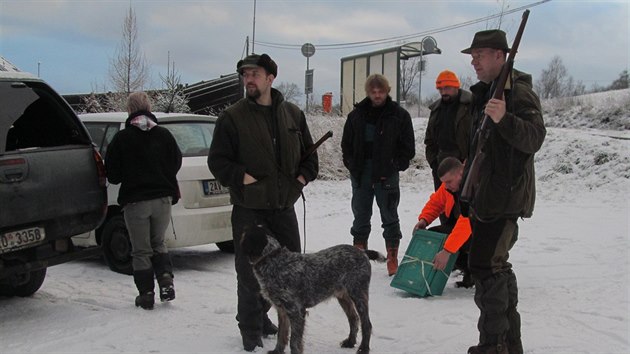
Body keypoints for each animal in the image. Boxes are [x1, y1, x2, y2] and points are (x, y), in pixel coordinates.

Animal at [241, 225, 382, 352]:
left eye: (244, 235)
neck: (273, 260)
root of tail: (362, 252)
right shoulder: (282, 310)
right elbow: (282, 334)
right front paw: (277, 351)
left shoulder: (296, 311)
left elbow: (294, 342)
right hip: (343, 296)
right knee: (353, 319)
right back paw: (350, 342)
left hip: (358, 294)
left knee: (366, 324)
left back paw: (363, 348)